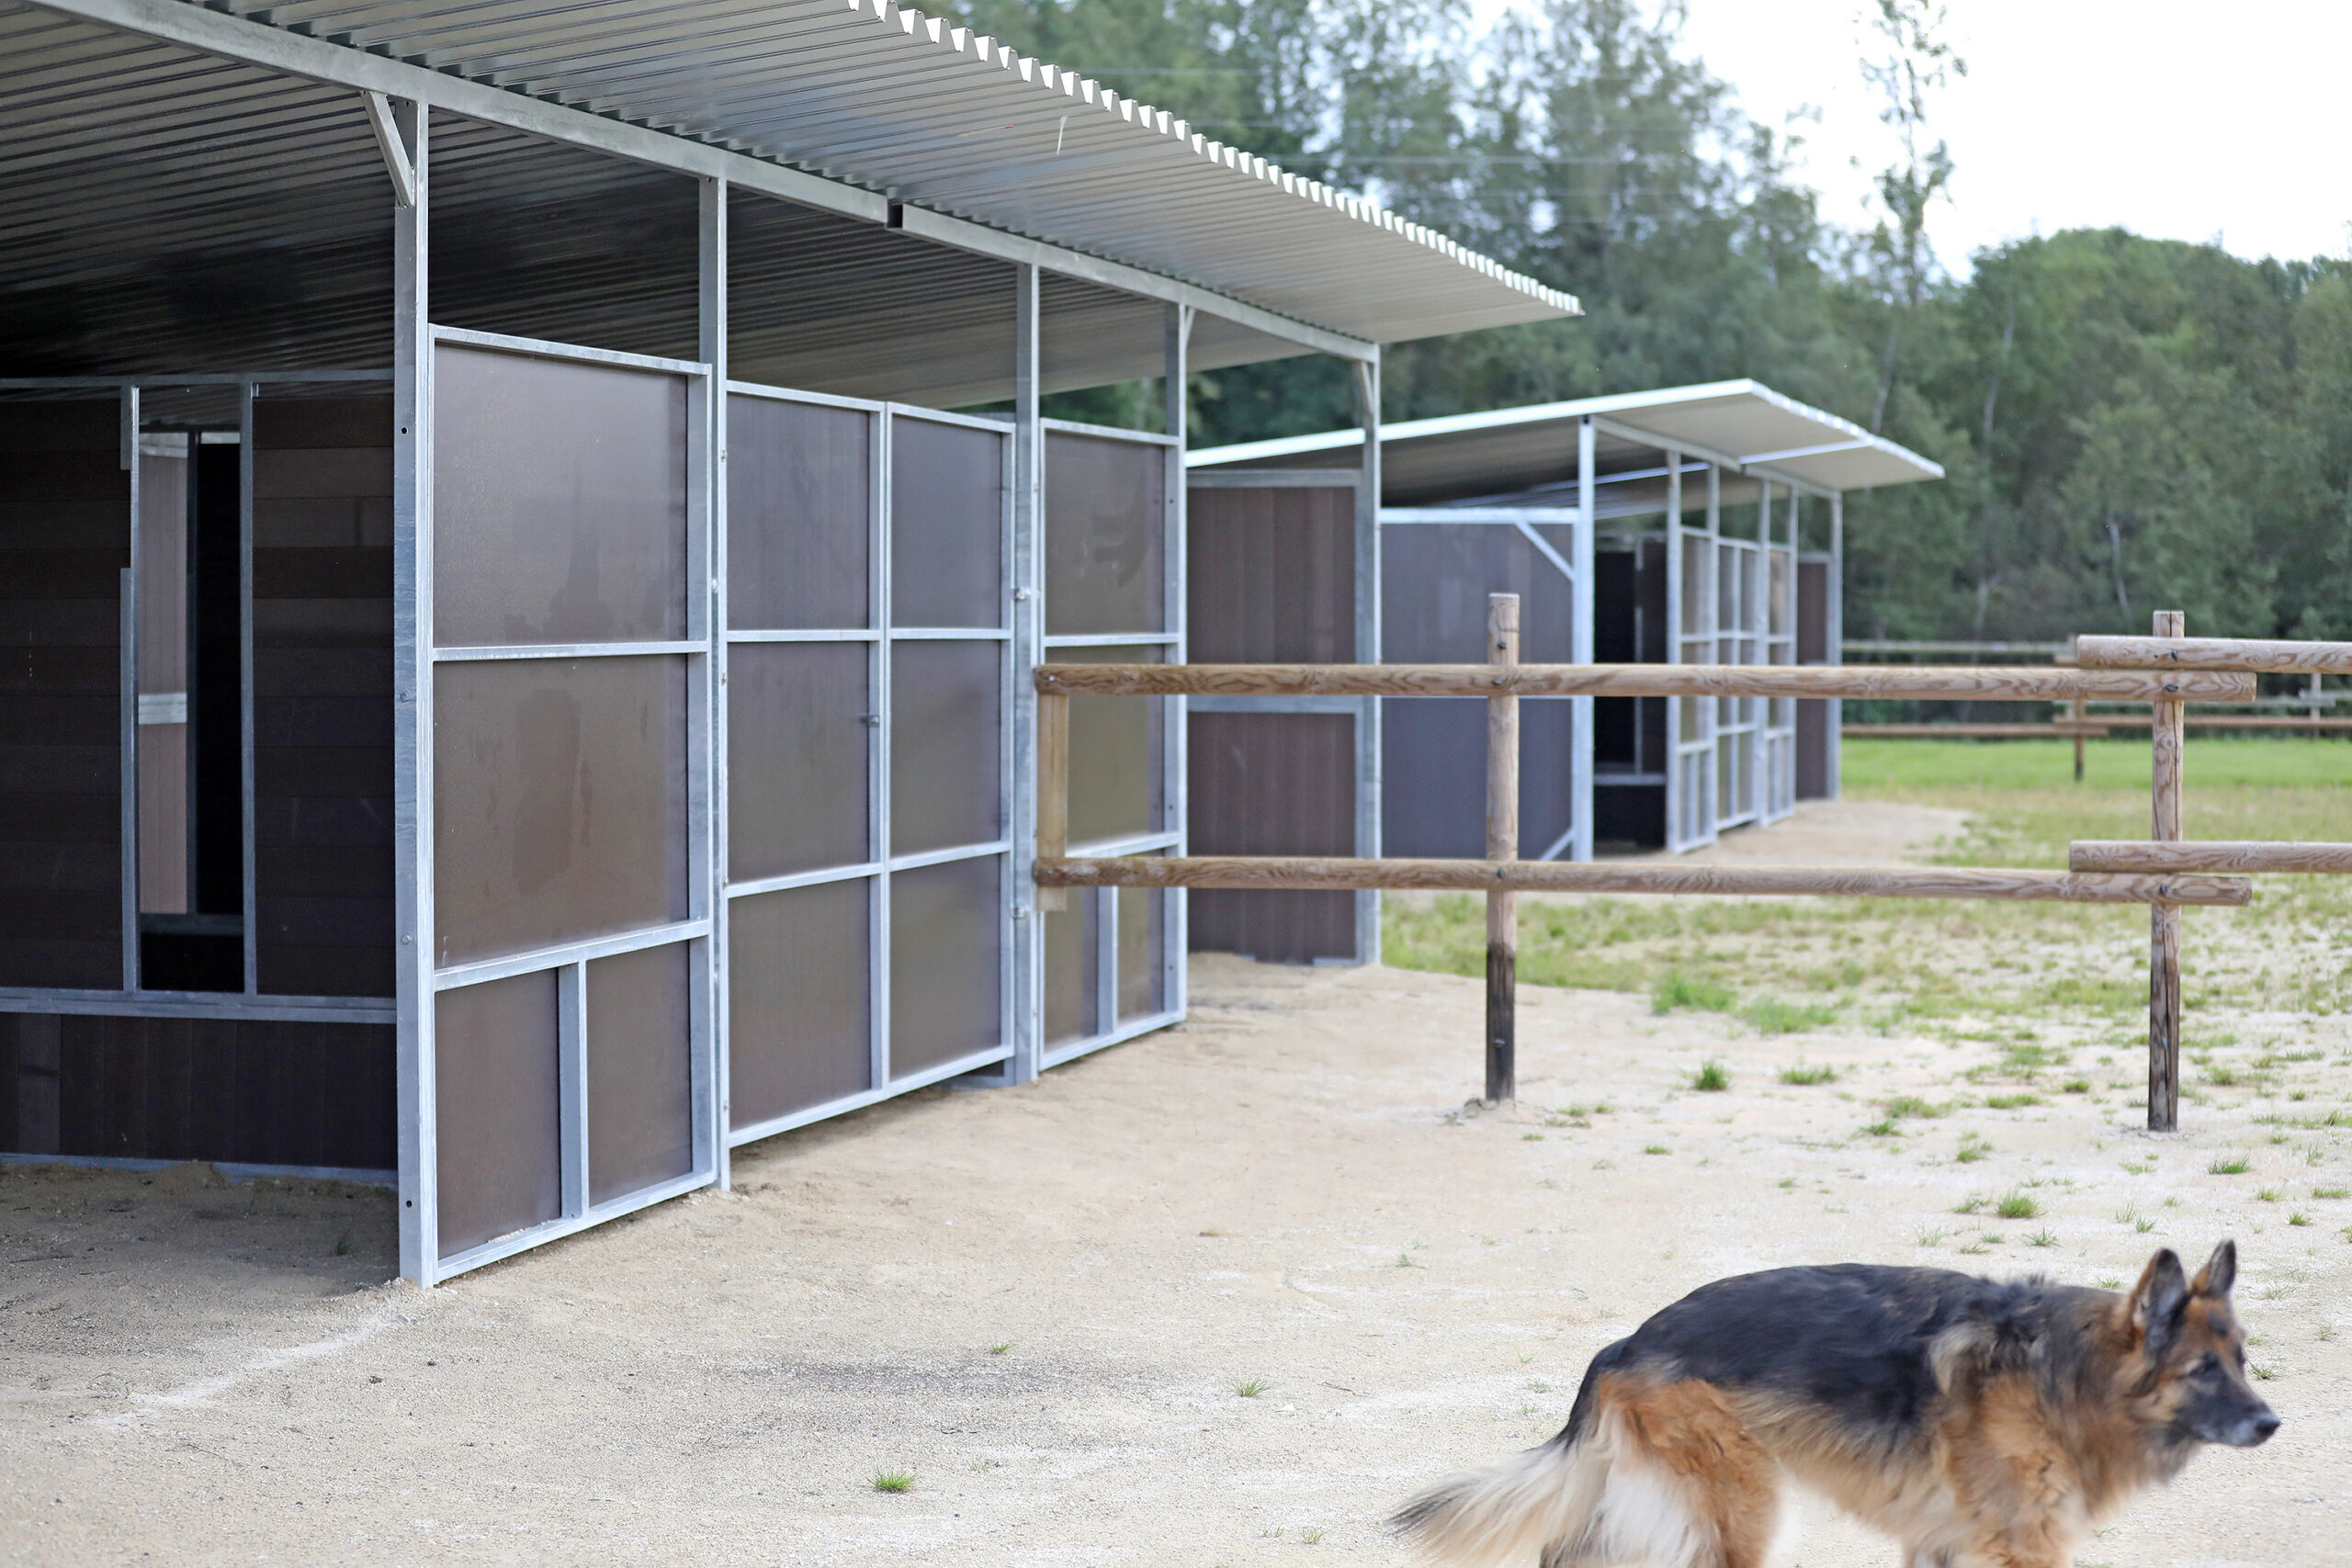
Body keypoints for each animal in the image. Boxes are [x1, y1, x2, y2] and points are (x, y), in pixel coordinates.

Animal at [1391, 1241, 2274, 1567]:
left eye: (2242, 1359)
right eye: (2202, 1369)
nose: (2272, 1422)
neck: (2064, 1371)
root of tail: (1626, 1341)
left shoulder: (1943, 1541)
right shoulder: (2021, 1546)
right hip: (1740, 1513)